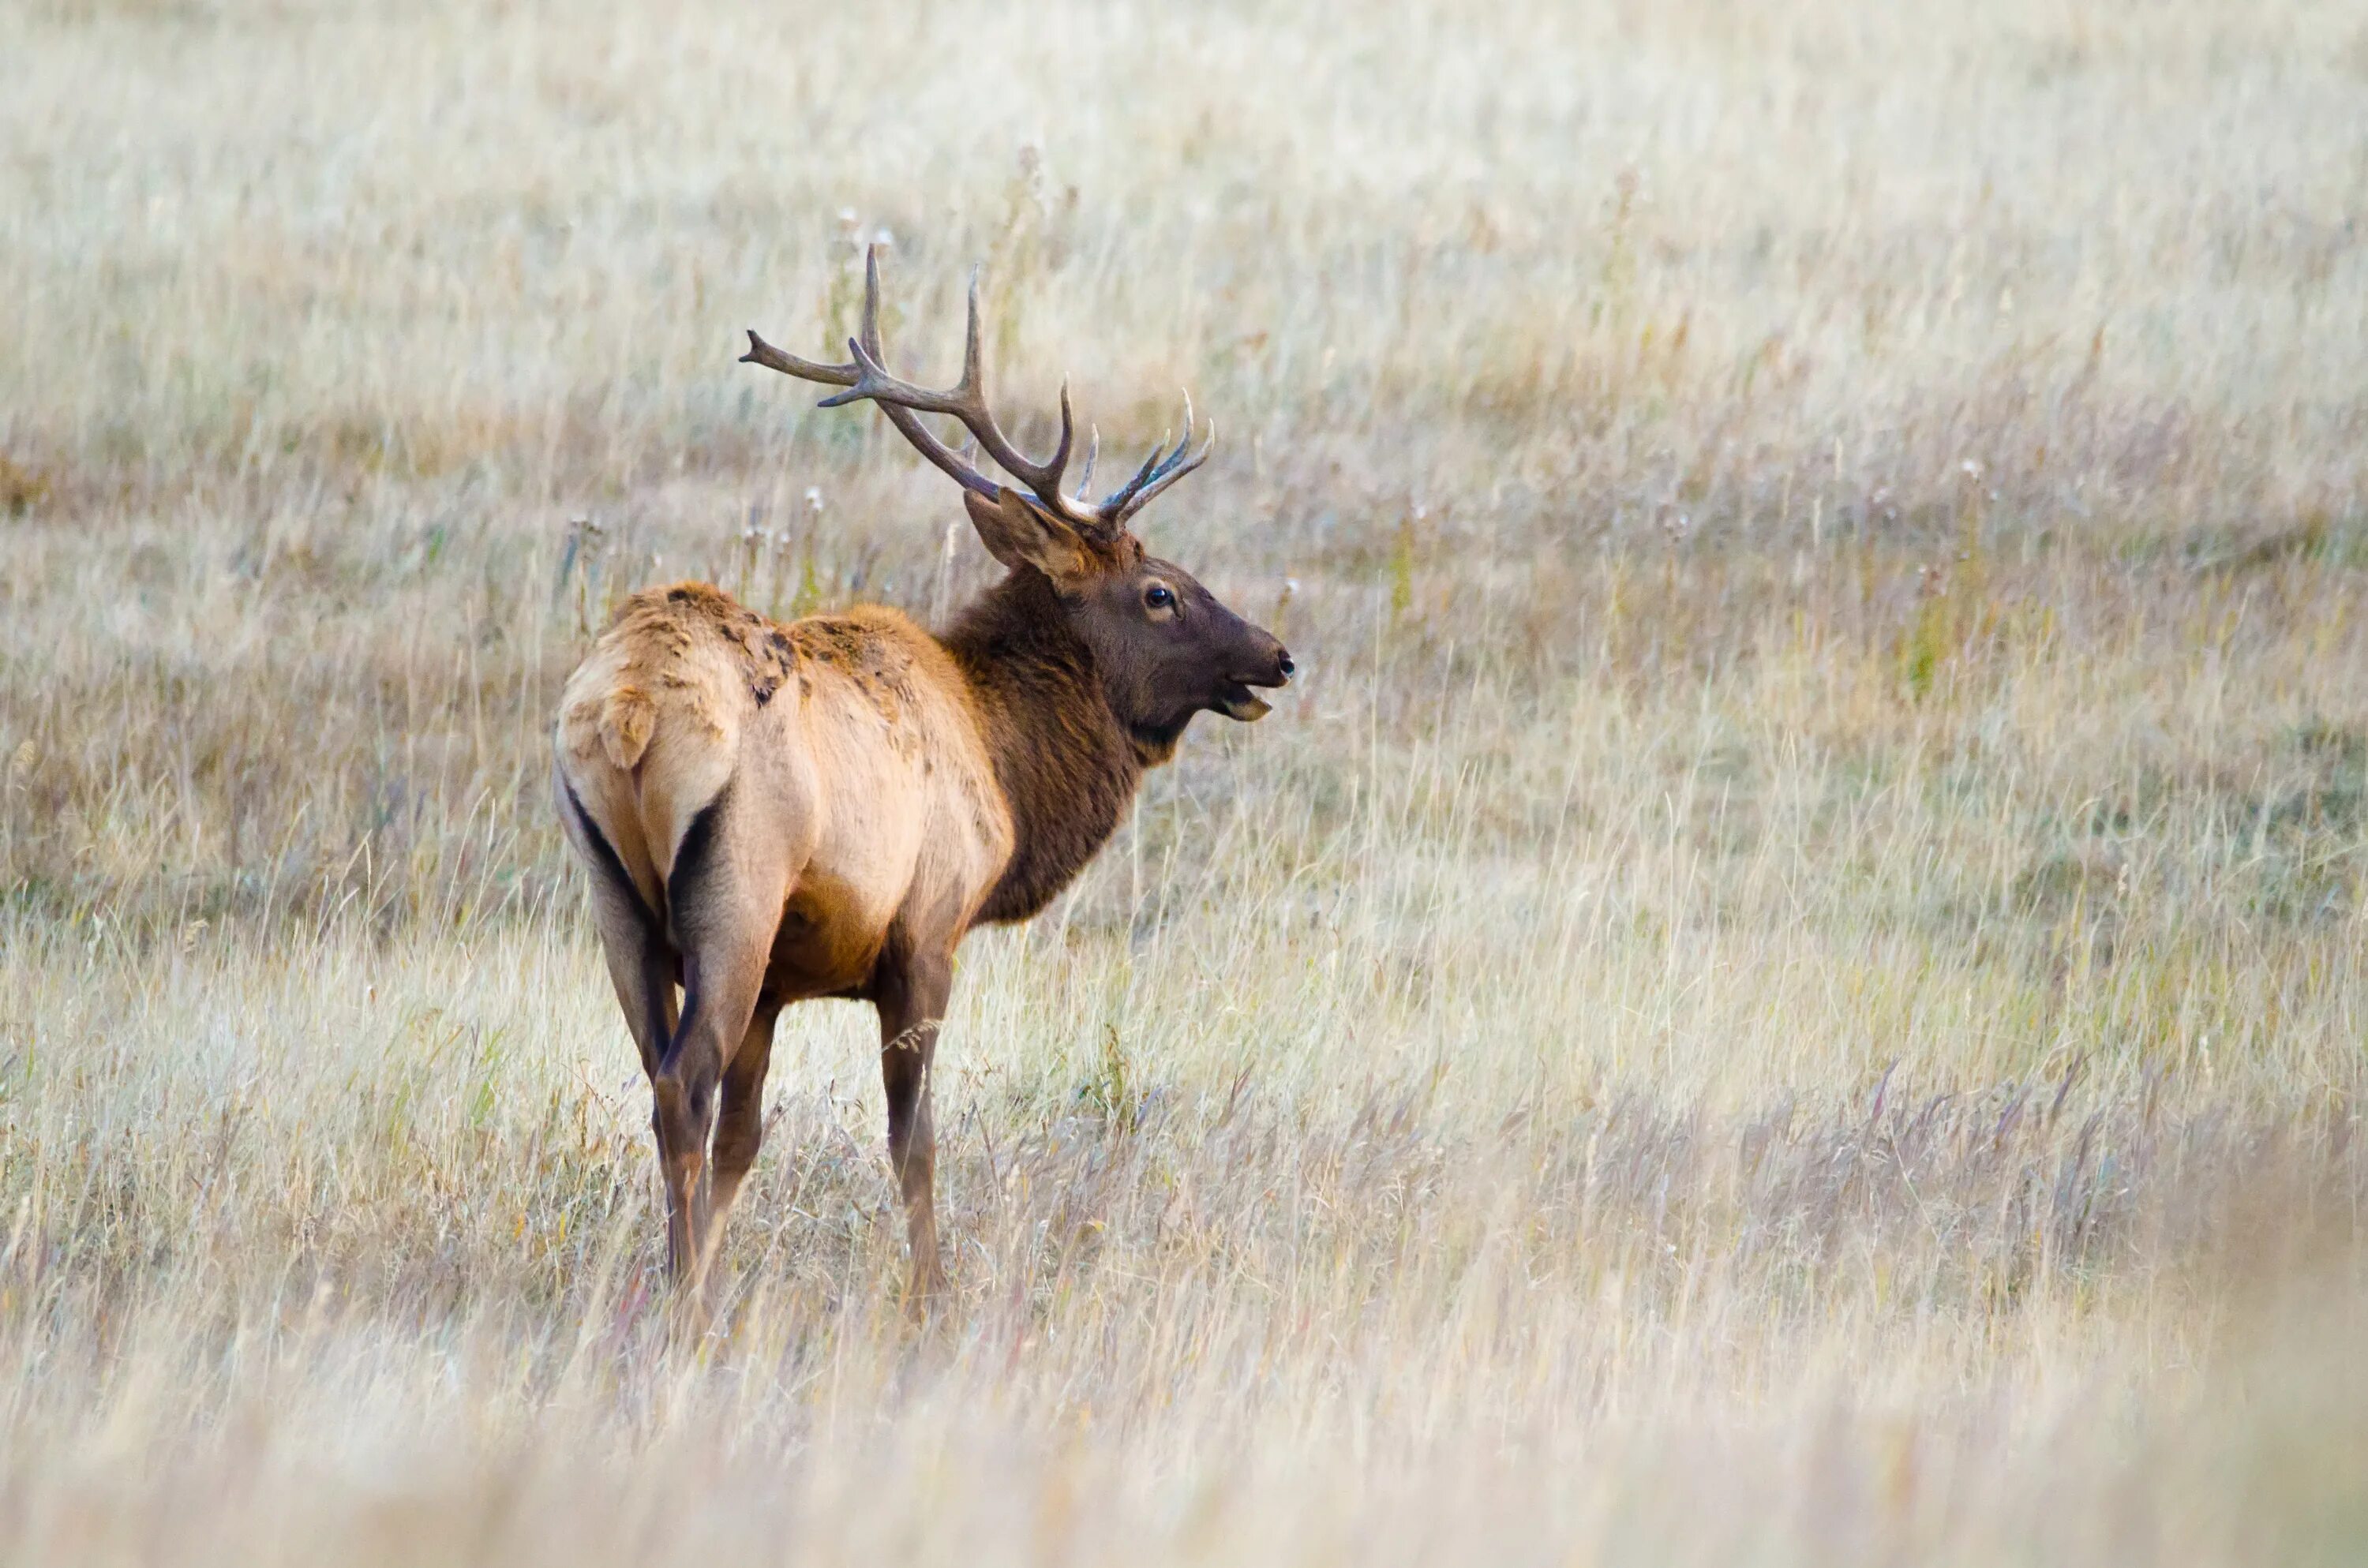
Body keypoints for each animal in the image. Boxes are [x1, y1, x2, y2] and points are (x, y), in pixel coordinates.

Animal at [554, 249, 1298, 1297]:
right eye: (1161, 593)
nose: (1277, 656)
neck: (1003, 761)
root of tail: (630, 705)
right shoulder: (926, 933)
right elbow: (914, 1140)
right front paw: (931, 1294)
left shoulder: (781, 984)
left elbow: (746, 1141)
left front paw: (721, 1257)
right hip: (738, 891)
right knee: (682, 1082)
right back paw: (688, 1304)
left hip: (615, 901)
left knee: (666, 1087)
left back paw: (679, 1283)